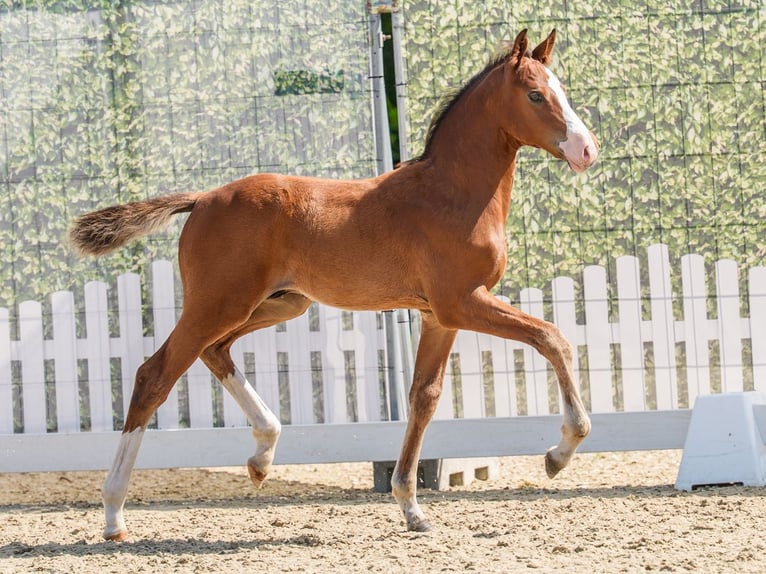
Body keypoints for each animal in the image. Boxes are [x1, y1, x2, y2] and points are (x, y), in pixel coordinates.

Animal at [69, 29, 598, 540]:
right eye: (535, 94)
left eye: (561, 90)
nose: (586, 149)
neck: (451, 195)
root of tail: (202, 199)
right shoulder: (462, 303)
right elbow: (553, 338)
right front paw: (559, 454)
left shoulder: (438, 316)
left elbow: (423, 397)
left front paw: (411, 508)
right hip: (219, 303)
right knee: (154, 375)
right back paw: (114, 515)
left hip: (278, 305)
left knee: (214, 352)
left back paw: (261, 457)